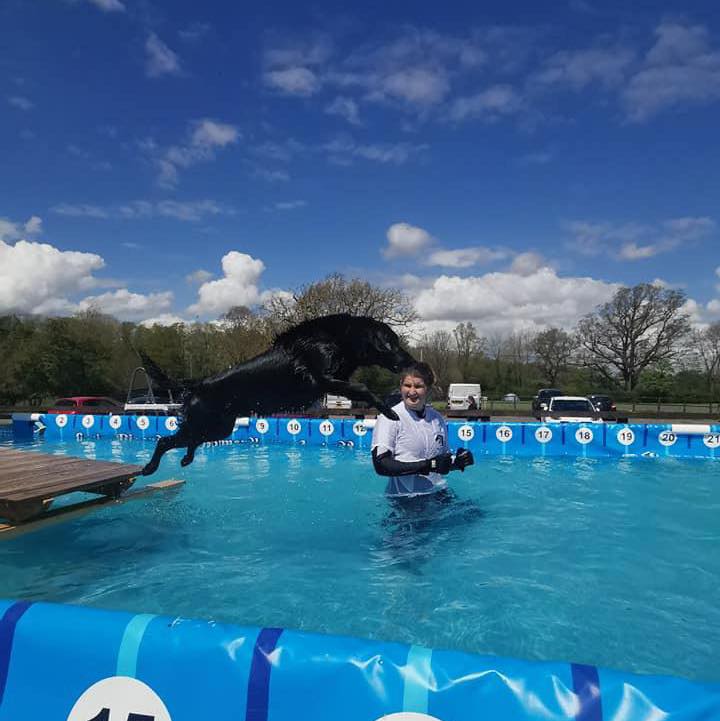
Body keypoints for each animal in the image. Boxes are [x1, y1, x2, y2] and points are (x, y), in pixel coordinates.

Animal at [139, 314, 416, 472]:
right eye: (393, 343)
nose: (411, 361)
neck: (338, 338)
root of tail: (196, 384)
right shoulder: (324, 379)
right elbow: (362, 388)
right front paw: (390, 412)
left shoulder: (336, 381)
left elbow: (359, 390)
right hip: (204, 423)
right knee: (165, 441)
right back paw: (150, 467)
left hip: (219, 428)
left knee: (189, 440)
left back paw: (186, 459)